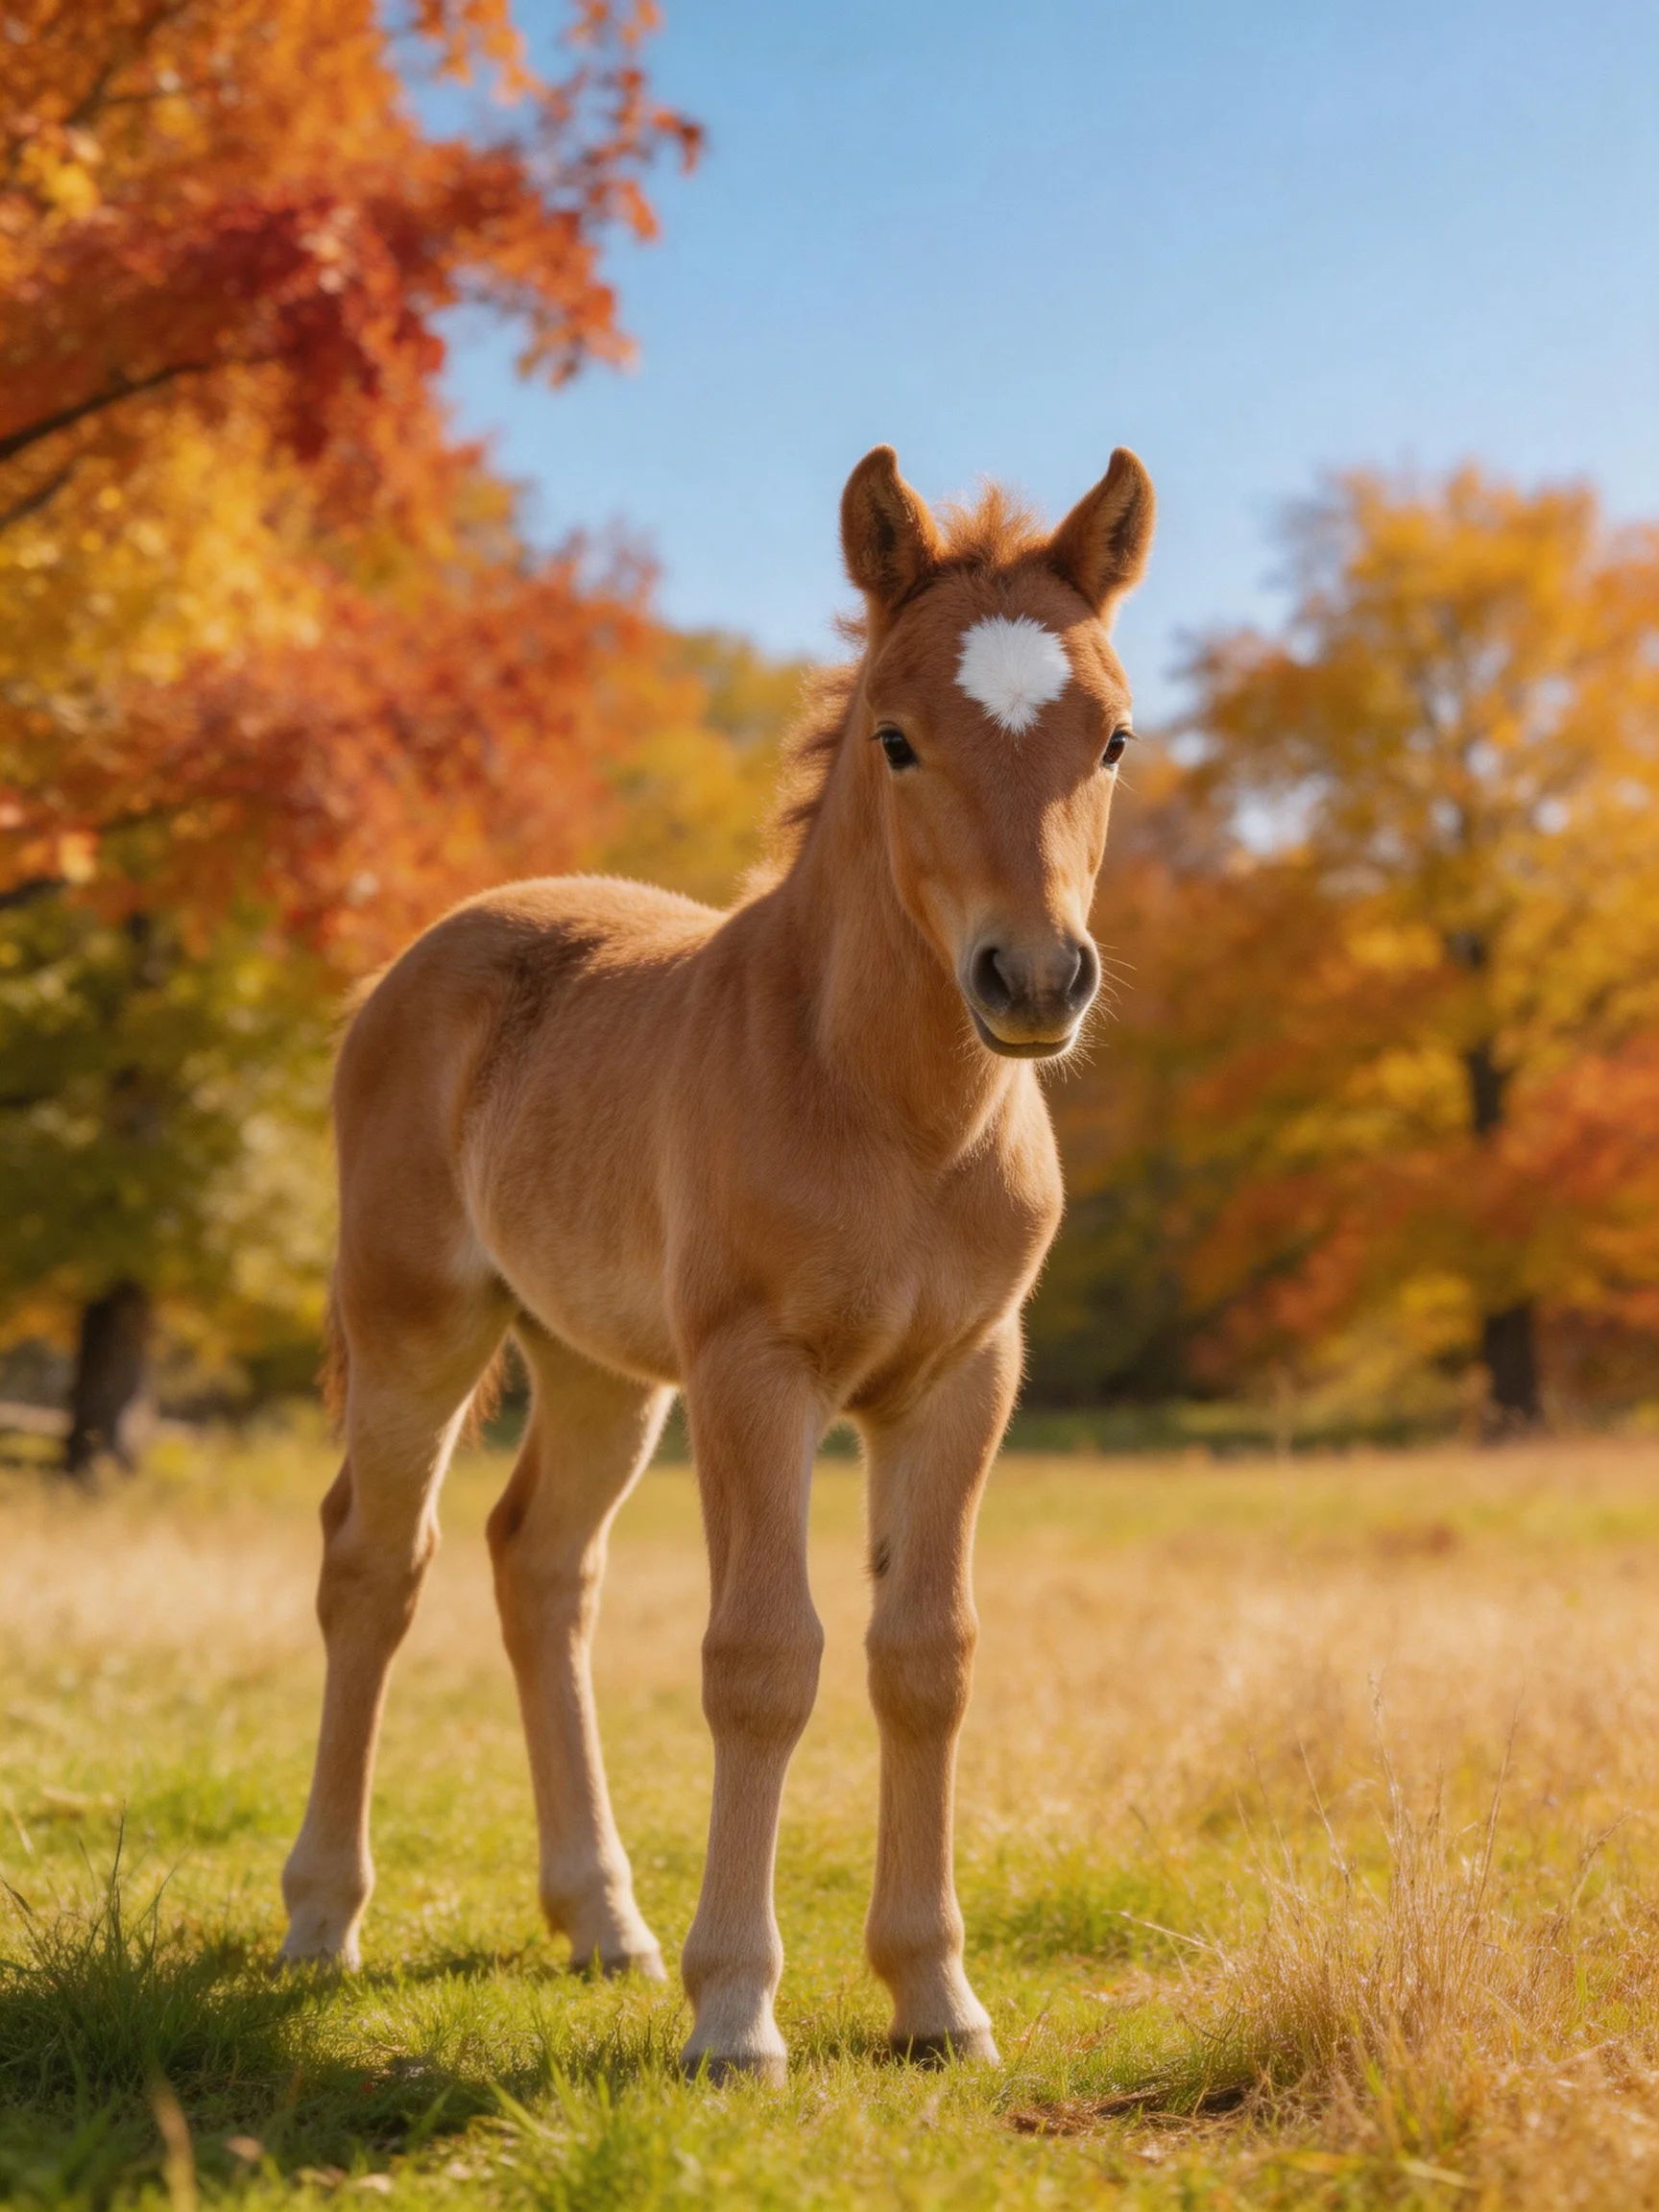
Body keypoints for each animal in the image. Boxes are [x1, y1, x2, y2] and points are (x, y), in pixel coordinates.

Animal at [279, 443, 1156, 2083]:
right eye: (895, 738)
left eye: (1115, 736)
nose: (1033, 980)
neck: (893, 1112)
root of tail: (414, 961)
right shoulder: (761, 1374)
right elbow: (763, 1658)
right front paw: (737, 2015)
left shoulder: (960, 1378)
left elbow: (924, 1657)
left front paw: (937, 2001)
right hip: (419, 1324)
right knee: (374, 1563)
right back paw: (321, 1918)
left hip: (600, 1370)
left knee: (539, 1565)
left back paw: (603, 1921)